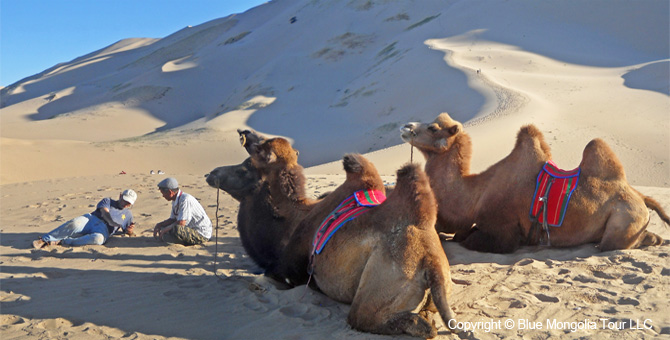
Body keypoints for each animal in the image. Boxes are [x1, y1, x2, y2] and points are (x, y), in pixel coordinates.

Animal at [249, 136, 460, 338]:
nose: (246, 138)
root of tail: (431, 263)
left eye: (261, 150)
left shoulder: (292, 267)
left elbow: (270, 276)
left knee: (364, 317)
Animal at [402, 113, 668, 254]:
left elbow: (468, 240)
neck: (476, 193)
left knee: (613, 243)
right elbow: (461, 234)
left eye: (433, 127)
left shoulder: (503, 232)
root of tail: (639, 196)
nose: (406, 126)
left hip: (624, 219)